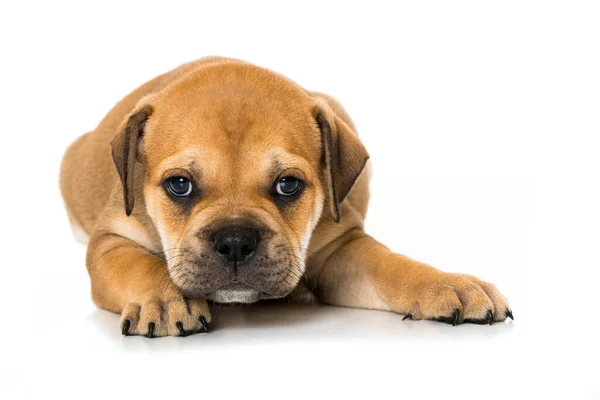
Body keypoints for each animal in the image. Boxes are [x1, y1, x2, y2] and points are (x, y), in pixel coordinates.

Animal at [59, 57, 510, 338]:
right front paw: (165, 300)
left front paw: (448, 283)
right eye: (179, 185)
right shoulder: (110, 241)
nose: (235, 241)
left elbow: (391, 264)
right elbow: (139, 265)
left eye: (288, 185)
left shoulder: (341, 246)